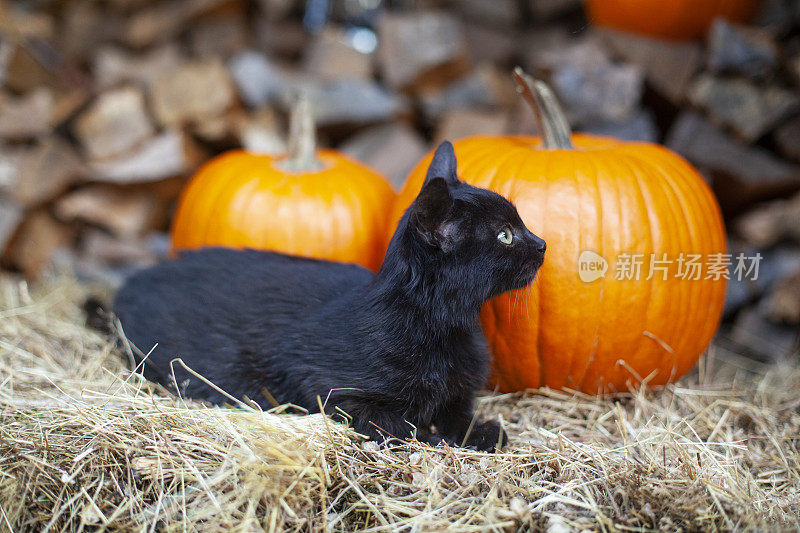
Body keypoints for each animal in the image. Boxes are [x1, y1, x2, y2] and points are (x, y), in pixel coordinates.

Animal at [115, 141, 548, 448]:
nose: (543, 244)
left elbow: (462, 416)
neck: (443, 324)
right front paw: (432, 436)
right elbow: (393, 424)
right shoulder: (329, 388)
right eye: (505, 235)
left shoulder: (460, 393)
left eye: (520, 225)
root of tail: (136, 280)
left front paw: (478, 432)